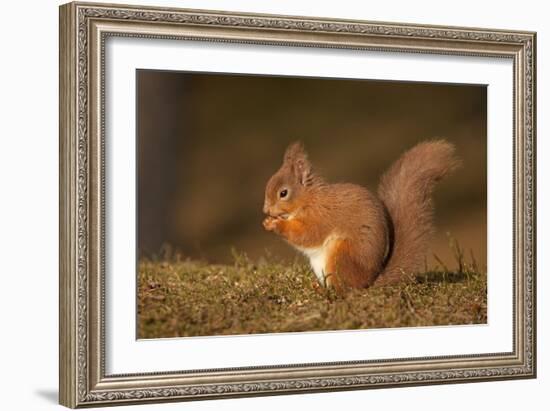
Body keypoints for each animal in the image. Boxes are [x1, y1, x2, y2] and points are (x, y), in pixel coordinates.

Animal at [264, 142, 462, 290]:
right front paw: (268, 221)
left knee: (345, 289)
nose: (266, 210)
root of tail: (368, 282)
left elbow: (307, 235)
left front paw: (275, 224)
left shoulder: (321, 216)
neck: (309, 199)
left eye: (283, 193)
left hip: (341, 254)